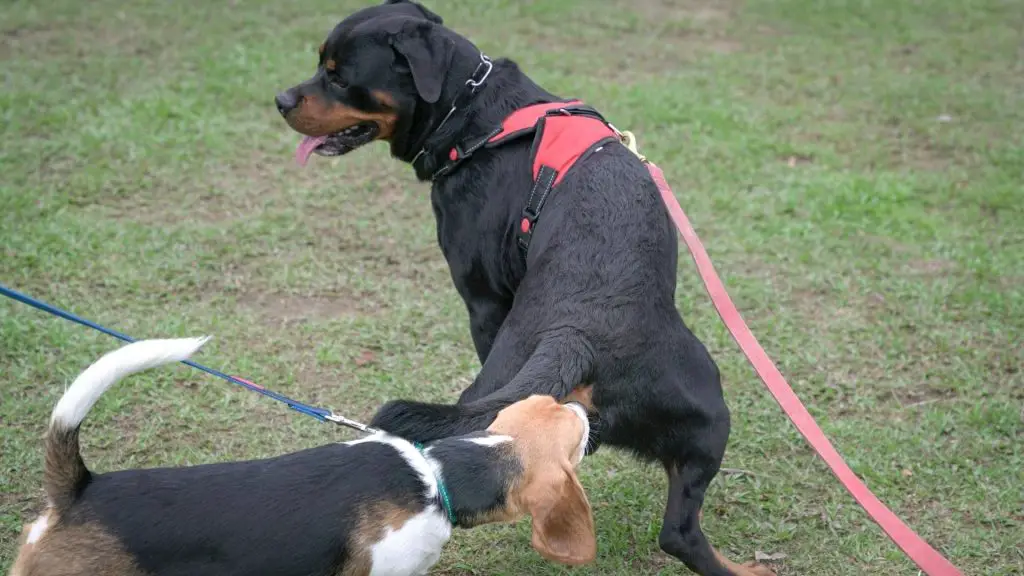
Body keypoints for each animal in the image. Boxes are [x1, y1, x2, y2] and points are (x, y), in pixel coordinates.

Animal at [276, 2, 770, 569]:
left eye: (338, 76)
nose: (281, 100)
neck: (474, 115)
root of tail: (575, 334)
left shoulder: (483, 300)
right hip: (705, 412)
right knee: (679, 531)